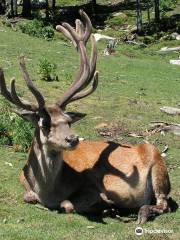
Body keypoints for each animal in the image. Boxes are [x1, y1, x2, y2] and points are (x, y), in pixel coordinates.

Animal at [0, 10, 172, 224]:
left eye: (68, 120)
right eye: (45, 123)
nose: (73, 138)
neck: (48, 192)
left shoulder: (91, 187)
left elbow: (67, 204)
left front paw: (108, 206)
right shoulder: (23, 183)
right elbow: (28, 197)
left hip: (158, 167)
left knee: (164, 203)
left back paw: (141, 212)